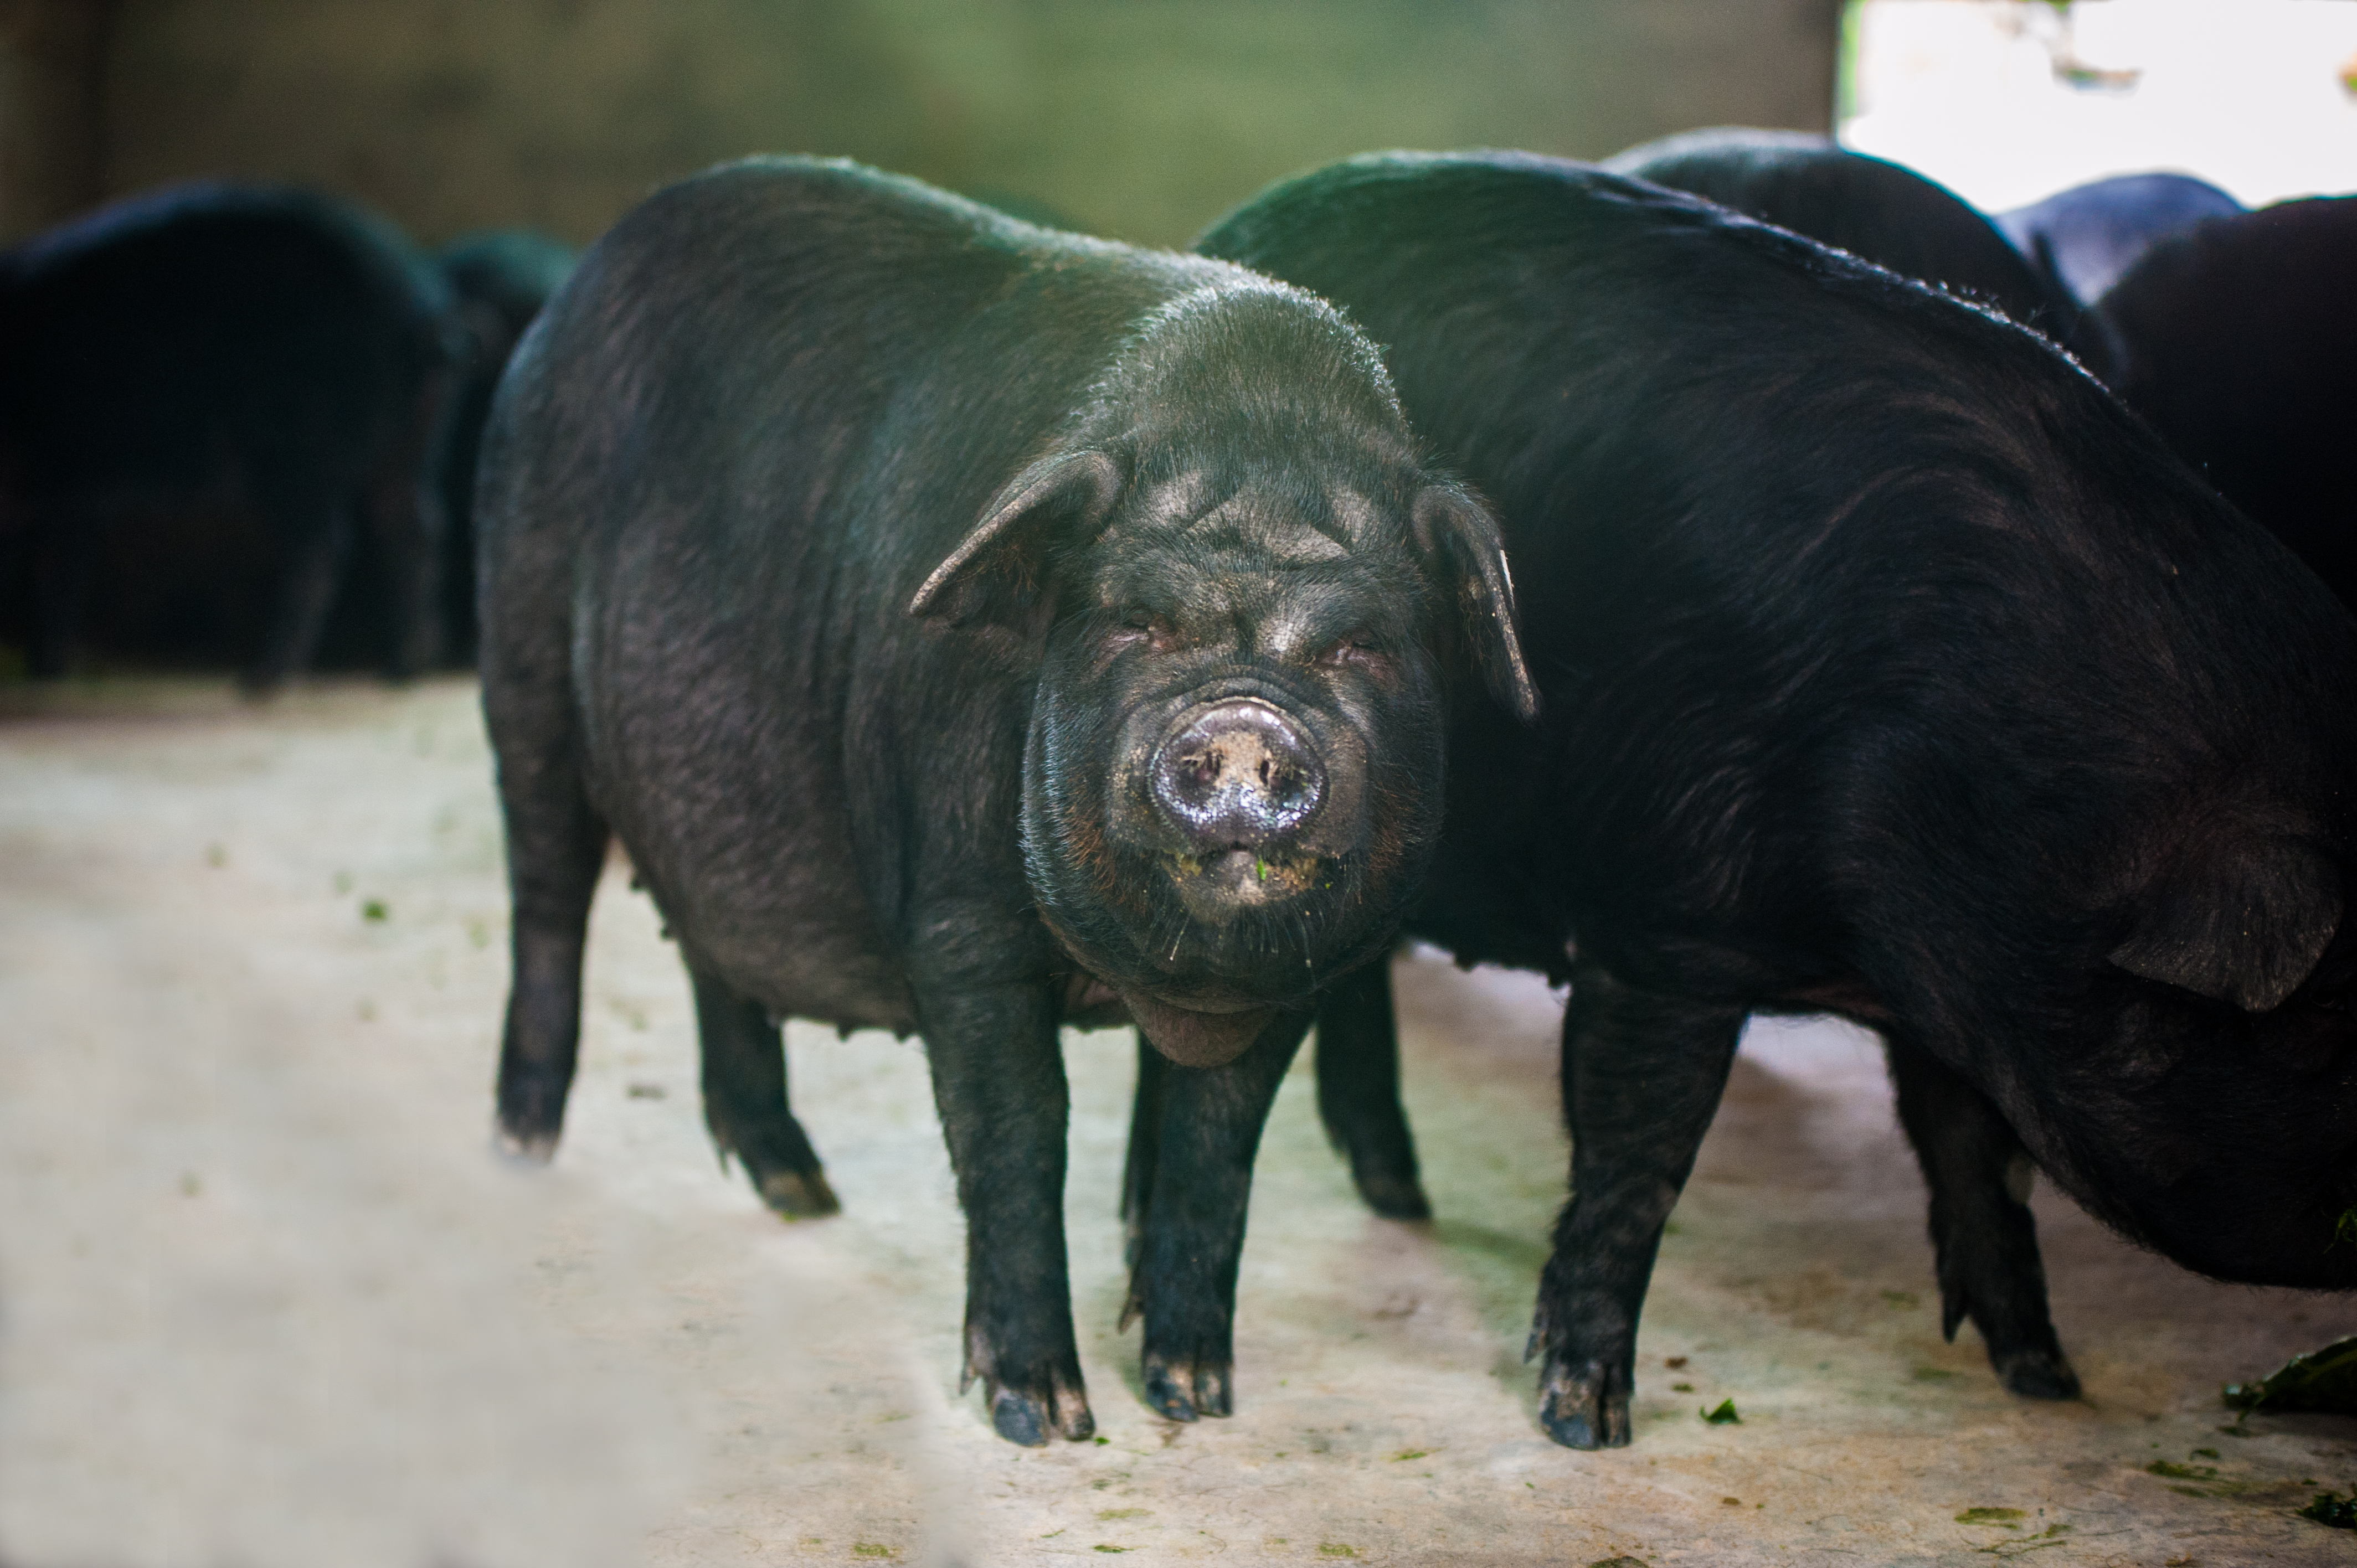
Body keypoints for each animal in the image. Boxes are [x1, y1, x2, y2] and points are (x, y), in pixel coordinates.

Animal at [0, 180, 457, 684]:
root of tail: (419, 311)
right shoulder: (72, 493)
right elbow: (61, 573)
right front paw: (49, 669)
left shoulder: (59, 479)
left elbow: (53, 572)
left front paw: (45, 669)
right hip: (411, 443)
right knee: (414, 529)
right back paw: (402, 670)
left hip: (297, 451)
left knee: (324, 549)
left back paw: (263, 679)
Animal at [483, 159, 1527, 1443]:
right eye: (1134, 622)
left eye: (1361, 646)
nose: (1242, 724)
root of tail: (565, 304)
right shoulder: (956, 923)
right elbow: (1021, 1131)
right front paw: (1046, 1416)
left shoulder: (1309, 967)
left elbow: (1214, 1150)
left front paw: (1195, 1397)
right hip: (519, 633)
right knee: (547, 892)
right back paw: (523, 1153)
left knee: (705, 946)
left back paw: (801, 1190)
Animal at [1207, 153, 2357, 1452]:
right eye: (2331, 1027)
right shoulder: (1668, 909)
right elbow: (1639, 1151)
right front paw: (1584, 1423)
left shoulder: (1959, 1001)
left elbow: (1979, 1164)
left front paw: (2044, 1379)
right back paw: (1405, 1200)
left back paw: (1402, 1197)